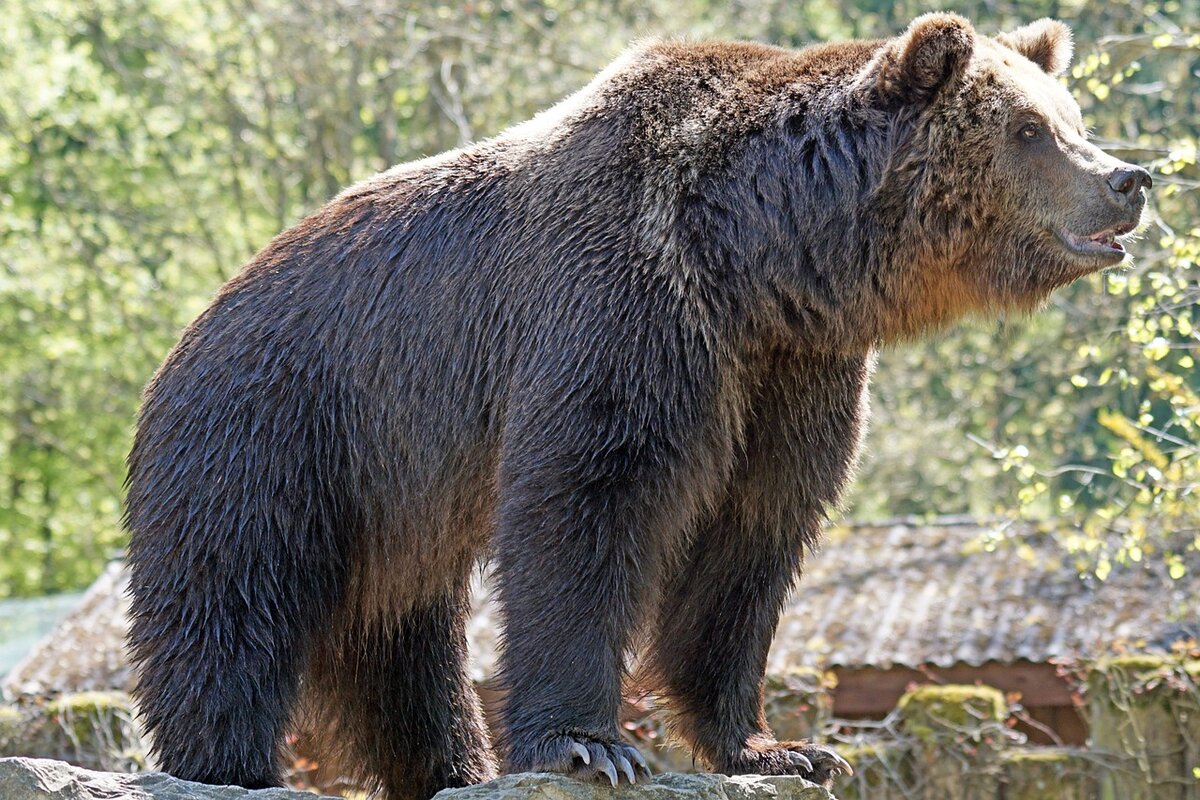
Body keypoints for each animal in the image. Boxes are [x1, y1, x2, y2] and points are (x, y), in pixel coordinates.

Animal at [126, 12, 1147, 800]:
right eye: (1028, 130)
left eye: (1071, 117)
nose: (1128, 180)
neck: (758, 257)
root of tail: (194, 325)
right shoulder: (625, 308)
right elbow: (589, 499)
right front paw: (593, 744)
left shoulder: (787, 372)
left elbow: (750, 539)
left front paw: (781, 748)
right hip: (278, 424)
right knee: (230, 600)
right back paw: (229, 765)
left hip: (396, 496)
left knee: (401, 644)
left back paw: (453, 764)